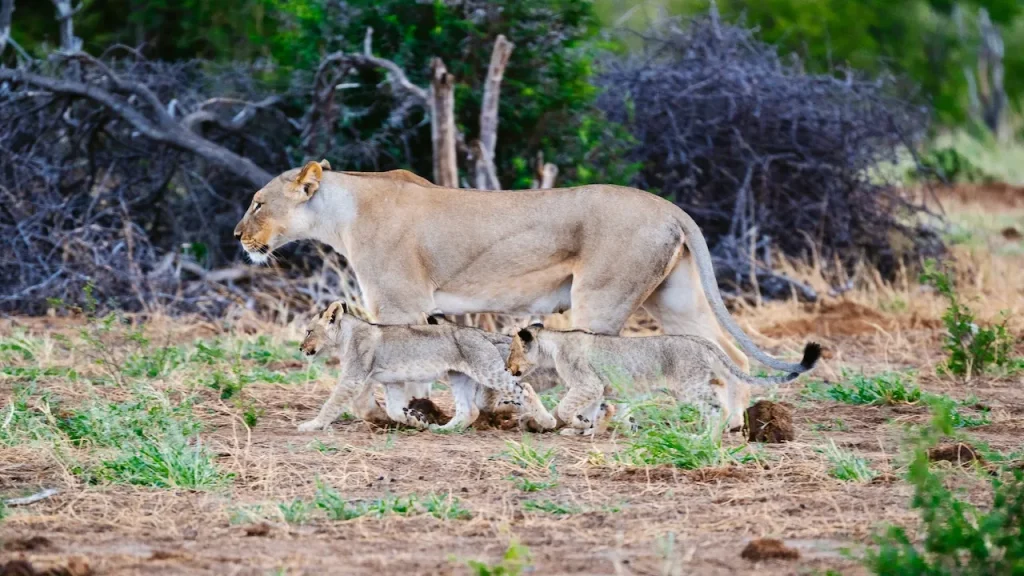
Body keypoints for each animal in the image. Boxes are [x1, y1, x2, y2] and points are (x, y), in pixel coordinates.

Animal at [234, 160, 816, 418]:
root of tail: (670, 207)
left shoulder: (400, 301)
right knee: (723, 353)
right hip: (672, 298)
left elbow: (393, 363)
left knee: (599, 367)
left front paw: (395, 414)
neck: (341, 210)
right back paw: (736, 425)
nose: (239, 235)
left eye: (258, 203)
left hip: (600, 296)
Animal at [296, 301, 554, 432]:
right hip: (459, 376)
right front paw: (415, 421)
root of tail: (482, 333)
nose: (300, 348)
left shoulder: (353, 377)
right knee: (469, 410)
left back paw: (547, 421)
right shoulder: (392, 382)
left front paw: (312, 425)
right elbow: (394, 410)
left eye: (308, 331)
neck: (346, 336)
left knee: (525, 389)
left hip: (488, 371)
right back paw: (443, 429)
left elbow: (332, 403)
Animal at [506, 324, 821, 433]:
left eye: (511, 350)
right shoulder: (597, 388)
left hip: (687, 387)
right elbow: (594, 409)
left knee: (716, 406)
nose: (509, 368)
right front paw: (584, 427)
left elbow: (565, 406)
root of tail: (700, 340)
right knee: (721, 396)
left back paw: (706, 436)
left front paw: (575, 423)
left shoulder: (587, 383)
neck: (553, 346)